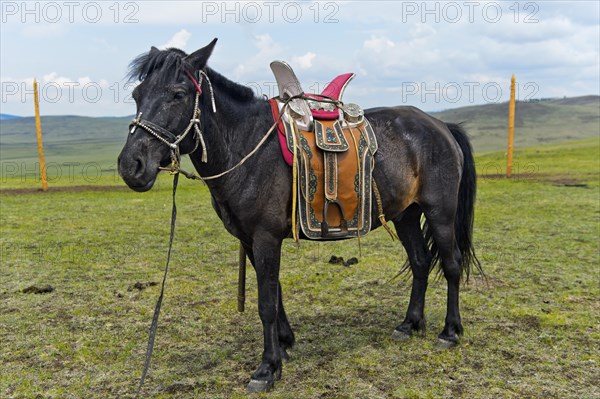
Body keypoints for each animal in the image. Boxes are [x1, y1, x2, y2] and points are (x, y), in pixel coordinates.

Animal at [118, 40, 482, 394]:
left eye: (178, 94)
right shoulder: (251, 240)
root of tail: (439, 125)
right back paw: (409, 324)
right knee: (420, 261)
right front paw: (284, 345)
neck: (244, 145)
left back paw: (450, 331)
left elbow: (265, 302)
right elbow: (275, 293)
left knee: (450, 263)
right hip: (405, 214)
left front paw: (267, 368)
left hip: (440, 212)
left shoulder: (265, 237)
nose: (130, 166)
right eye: (137, 94)